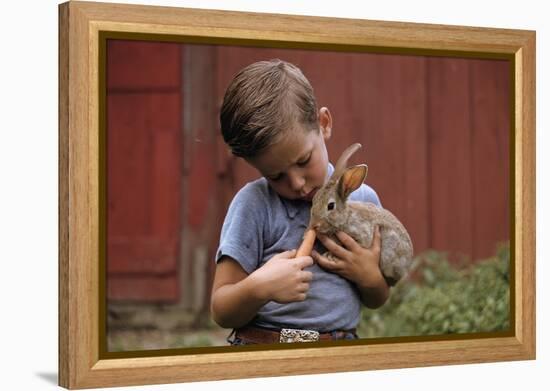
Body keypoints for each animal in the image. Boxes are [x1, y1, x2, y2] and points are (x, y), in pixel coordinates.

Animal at [310, 142, 414, 286]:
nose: (314, 225)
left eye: (330, 206)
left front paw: (330, 255)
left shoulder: (362, 235)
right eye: (313, 200)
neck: (346, 218)